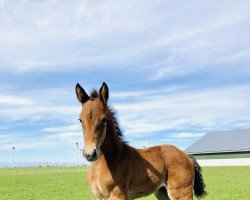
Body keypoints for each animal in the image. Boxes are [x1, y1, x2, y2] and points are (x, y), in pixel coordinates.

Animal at [74, 82, 205, 199]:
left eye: (104, 120)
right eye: (80, 120)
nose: (89, 154)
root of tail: (187, 156)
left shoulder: (119, 195)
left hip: (181, 192)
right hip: (162, 192)